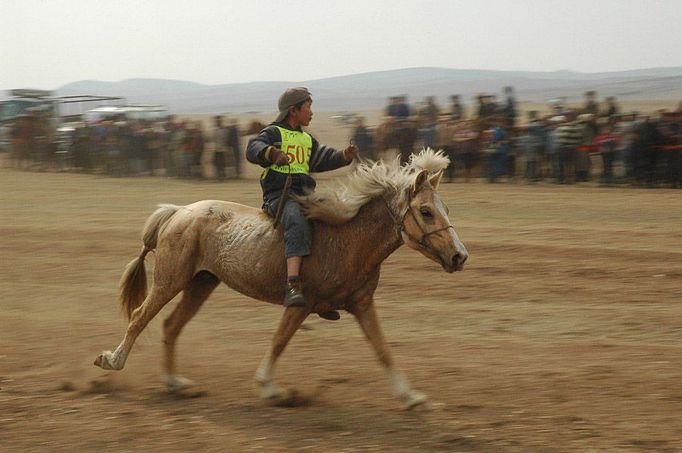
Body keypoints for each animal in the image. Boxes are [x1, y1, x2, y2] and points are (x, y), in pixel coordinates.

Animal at [93, 149, 468, 410]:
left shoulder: (362, 304)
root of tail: (177, 212)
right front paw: (271, 389)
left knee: (171, 326)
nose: (460, 256)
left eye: (446, 208)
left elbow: (382, 350)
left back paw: (175, 383)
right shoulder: (301, 304)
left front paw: (412, 397)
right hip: (170, 279)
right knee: (140, 317)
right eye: (426, 211)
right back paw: (111, 362)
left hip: (201, 282)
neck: (347, 239)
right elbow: (278, 341)